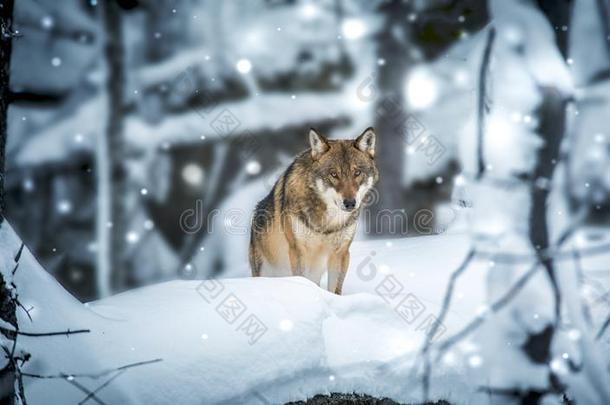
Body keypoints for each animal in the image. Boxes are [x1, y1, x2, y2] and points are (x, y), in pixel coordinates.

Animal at [247, 128, 376, 296]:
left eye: (357, 173)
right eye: (333, 174)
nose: (350, 203)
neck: (328, 223)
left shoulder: (341, 253)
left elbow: (335, 289)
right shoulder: (298, 251)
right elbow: (301, 278)